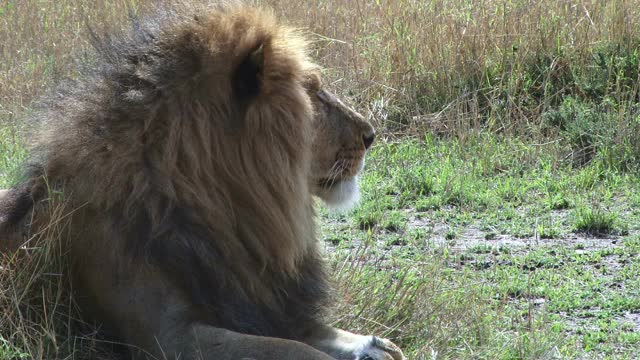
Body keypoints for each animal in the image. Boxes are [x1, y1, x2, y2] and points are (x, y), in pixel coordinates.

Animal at [0, 2, 404, 360]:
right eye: (312, 91)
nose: (370, 135)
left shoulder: (259, 301)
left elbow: (314, 333)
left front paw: (375, 346)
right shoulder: (169, 338)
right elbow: (292, 349)